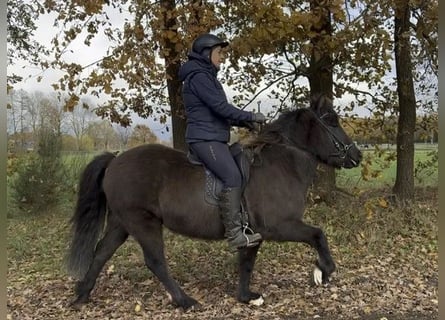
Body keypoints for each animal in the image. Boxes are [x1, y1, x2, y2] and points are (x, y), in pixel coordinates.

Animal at [67, 94, 362, 310]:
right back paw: (185, 301)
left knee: (102, 252)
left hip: (122, 222)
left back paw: (82, 294)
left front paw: (246, 296)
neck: (282, 163)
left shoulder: (254, 233)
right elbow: (318, 235)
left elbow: (247, 261)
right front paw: (323, 271)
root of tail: (115, 159)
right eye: (332, 121)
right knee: (155, 261)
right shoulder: (280, 226)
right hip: (142, 222)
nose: (357, 156)